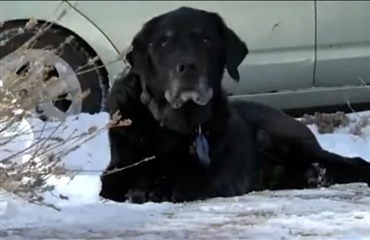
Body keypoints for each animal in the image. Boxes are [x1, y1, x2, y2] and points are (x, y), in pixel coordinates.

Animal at [99, 6, 370, 203]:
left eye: (206, 39)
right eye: (164, 42)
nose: (188, 66)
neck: (173, 123)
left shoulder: (217, 176)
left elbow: (184, 179)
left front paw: (158, 187)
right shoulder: (113, 171)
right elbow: (115, 183)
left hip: (276, 136)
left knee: (354, 162)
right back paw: (314, 175)